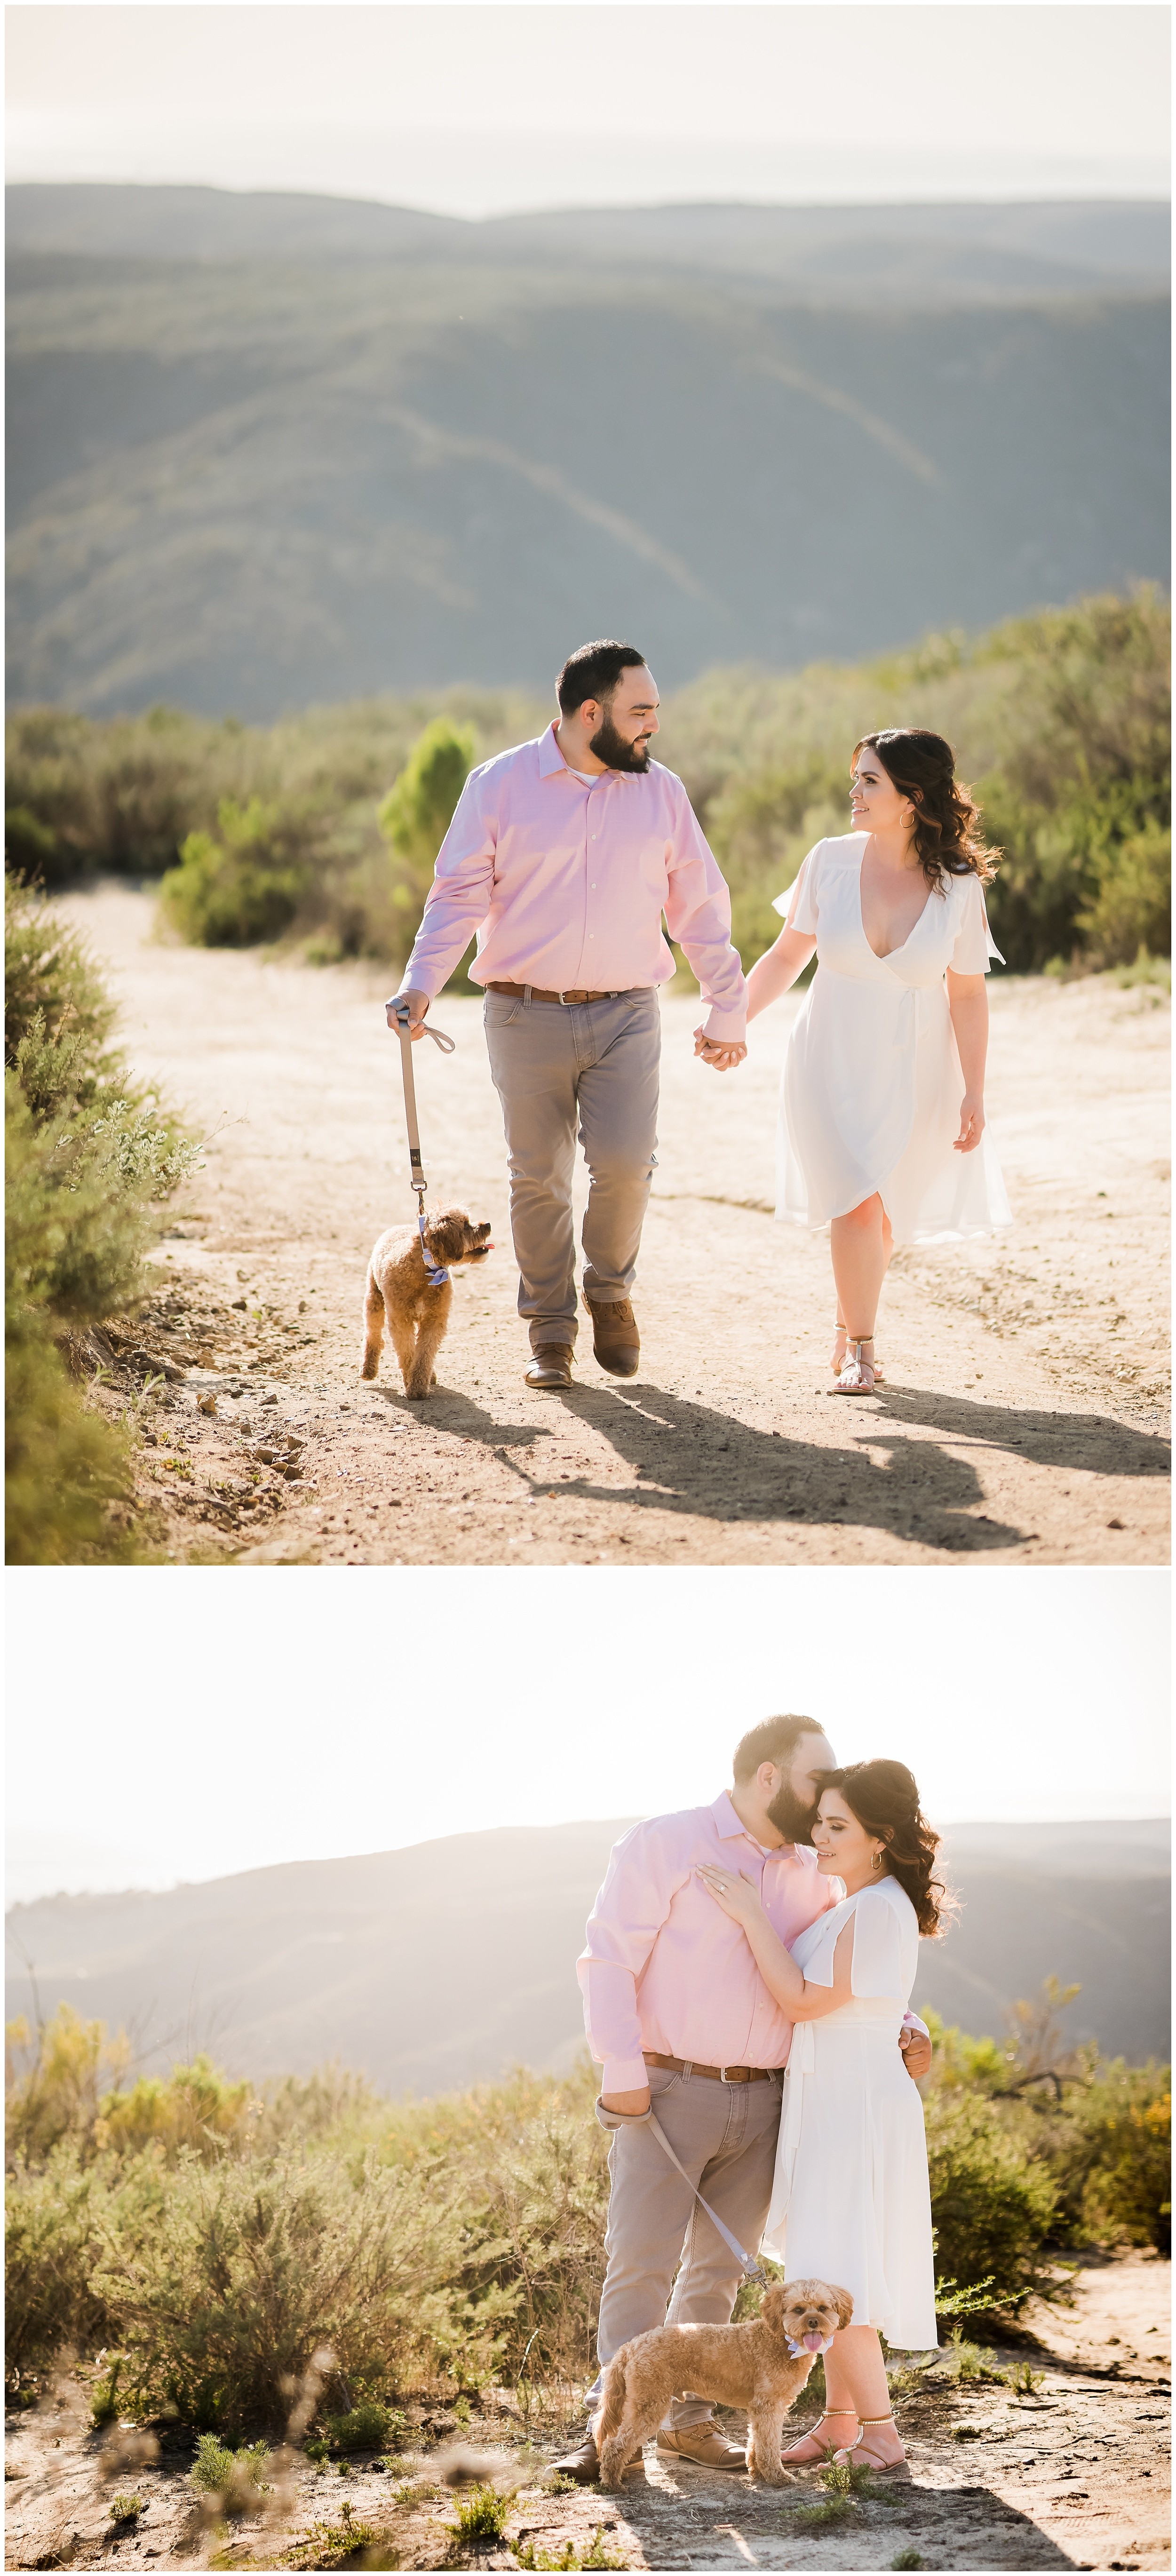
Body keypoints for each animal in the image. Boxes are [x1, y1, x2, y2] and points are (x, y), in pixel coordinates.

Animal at [358, 1200, 486, 1391]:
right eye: (465, 1225)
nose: (488, 1225)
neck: (427, 1269)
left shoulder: (434, 1320)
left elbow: (424, 1353)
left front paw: (418, 1384)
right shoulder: (401, 1321)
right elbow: (407, 1353)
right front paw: (412, 1384)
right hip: (374, 1300)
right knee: (373, 1335)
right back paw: (368, 1369)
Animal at [592, 2287, 849, 2483]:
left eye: (823, 2308)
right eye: (798, 2310)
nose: (813, 2321)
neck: (781, 2340)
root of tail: (631, 2346)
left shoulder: (763, 2409)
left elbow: (757, 2441)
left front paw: (757, 2470)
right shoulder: (769, 2406)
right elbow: (769, 2445)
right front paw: (777, 2477)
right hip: (649, 2404)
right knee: (614, 2445)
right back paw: (612, 2482)